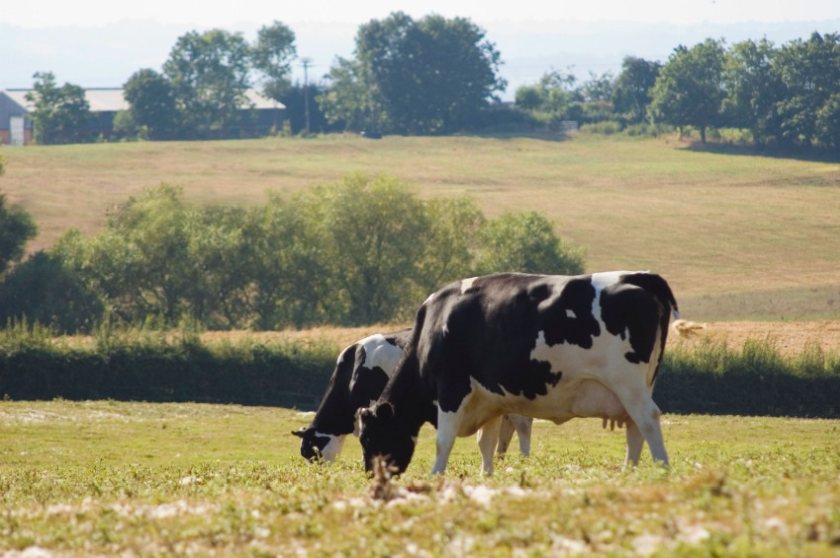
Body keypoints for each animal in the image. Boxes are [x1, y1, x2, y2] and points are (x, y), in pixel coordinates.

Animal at [294, 330, 532, 474]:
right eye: (305, 454)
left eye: (312, 453)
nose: (319, 475)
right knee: (507, 430)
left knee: (522, 425)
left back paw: (524, 460)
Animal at [358, 272, 680, 476]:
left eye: (369, 438)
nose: (372, 476)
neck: (434, 327)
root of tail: (636, 277)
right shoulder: (489, 399)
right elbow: (486, 444)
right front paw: (486, 475)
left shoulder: (452, 390)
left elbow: (443, 441)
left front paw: (435, 477)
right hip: (636, 387)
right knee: (634, 427)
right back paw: (629, 472)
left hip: (627, 383)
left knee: (647, 419)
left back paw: (662, 469)